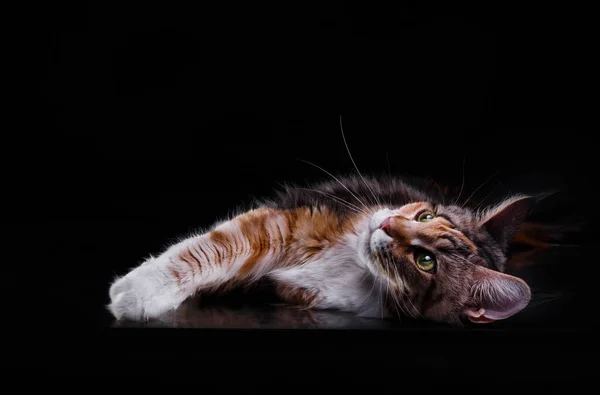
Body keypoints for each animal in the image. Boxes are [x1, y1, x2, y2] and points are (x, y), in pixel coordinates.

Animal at [109, 175, 544, 326]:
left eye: (426, 261)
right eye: (425, 215)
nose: (386, 225)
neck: (357, 266)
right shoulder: (293, 222)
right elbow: (209, 249)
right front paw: (137, 289)